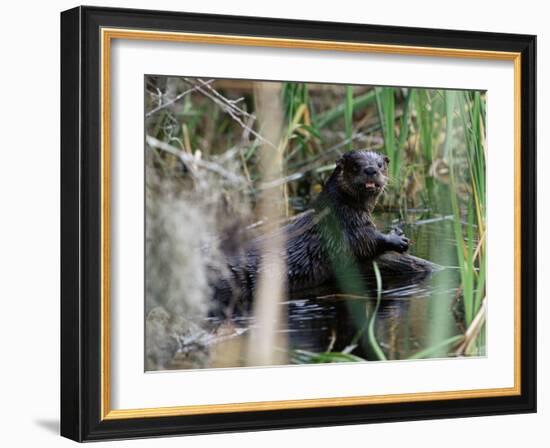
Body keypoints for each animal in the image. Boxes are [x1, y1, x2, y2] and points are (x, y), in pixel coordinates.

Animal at [213, 150, 412, 316]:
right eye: (356, 165)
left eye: (380, 164)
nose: (371, 170)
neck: (338, 210)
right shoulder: (346, 229)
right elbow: (367, 240)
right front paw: (397, 238)